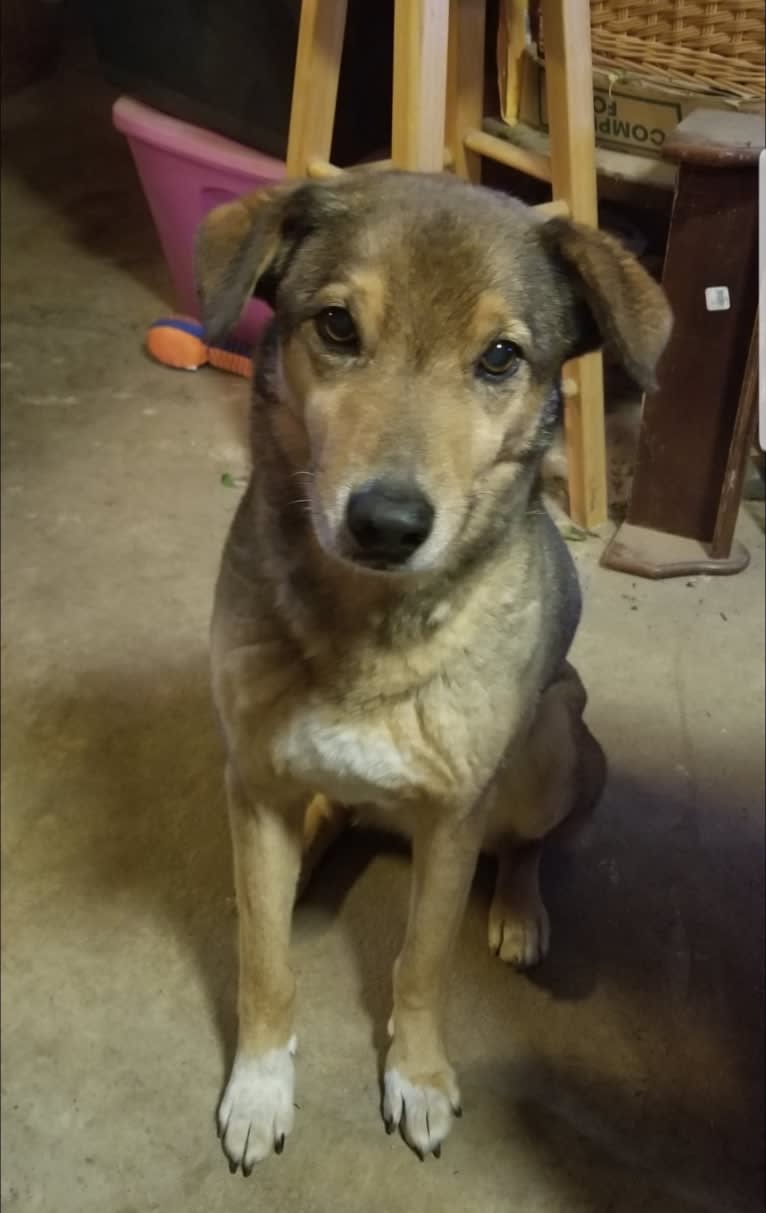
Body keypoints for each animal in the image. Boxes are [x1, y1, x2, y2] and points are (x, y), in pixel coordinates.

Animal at [193, 171, 670, 1164]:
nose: (386, 523)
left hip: (554, 738)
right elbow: (264, 960)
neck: (367, 625)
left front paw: (416, 1076)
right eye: (337, 326)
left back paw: (520, 911)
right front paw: (259, 1083)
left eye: (500, 356)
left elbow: (420, 962)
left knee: (527, 844)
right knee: (317, 833)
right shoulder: (254, 782)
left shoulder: (453, 821)